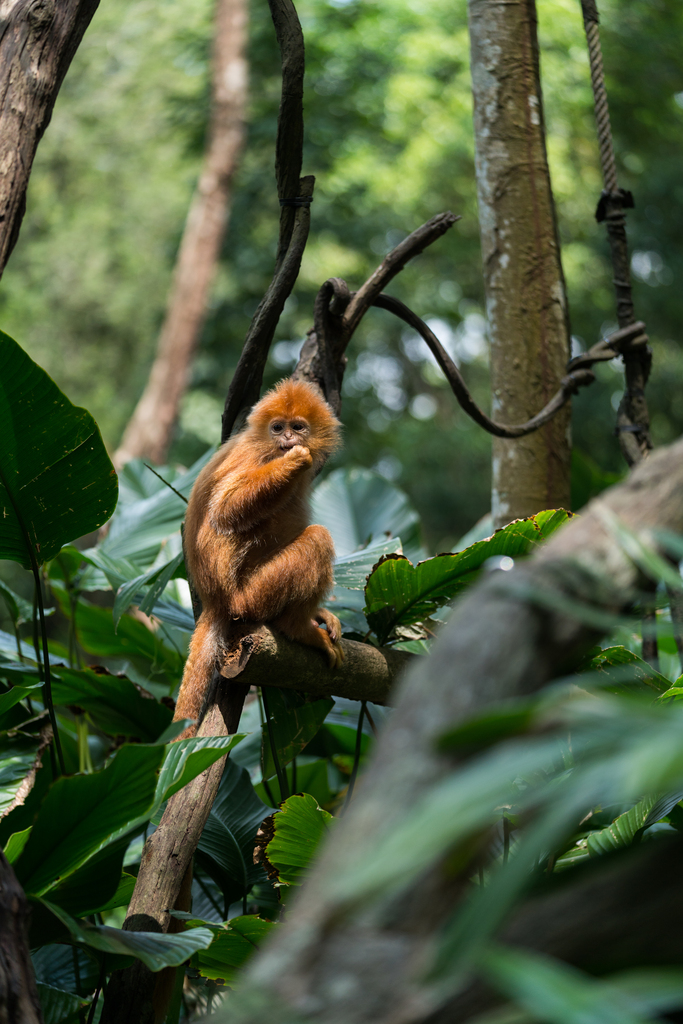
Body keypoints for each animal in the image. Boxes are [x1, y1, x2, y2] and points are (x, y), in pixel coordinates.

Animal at [174, 380, 344, 733]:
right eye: (278, 428)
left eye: (297, 427)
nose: (288, 440)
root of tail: (215, 599)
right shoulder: (253, 455)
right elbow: (225, 511)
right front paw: (293, 462)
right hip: (252, 595)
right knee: (318, 538)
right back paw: (300, 628)